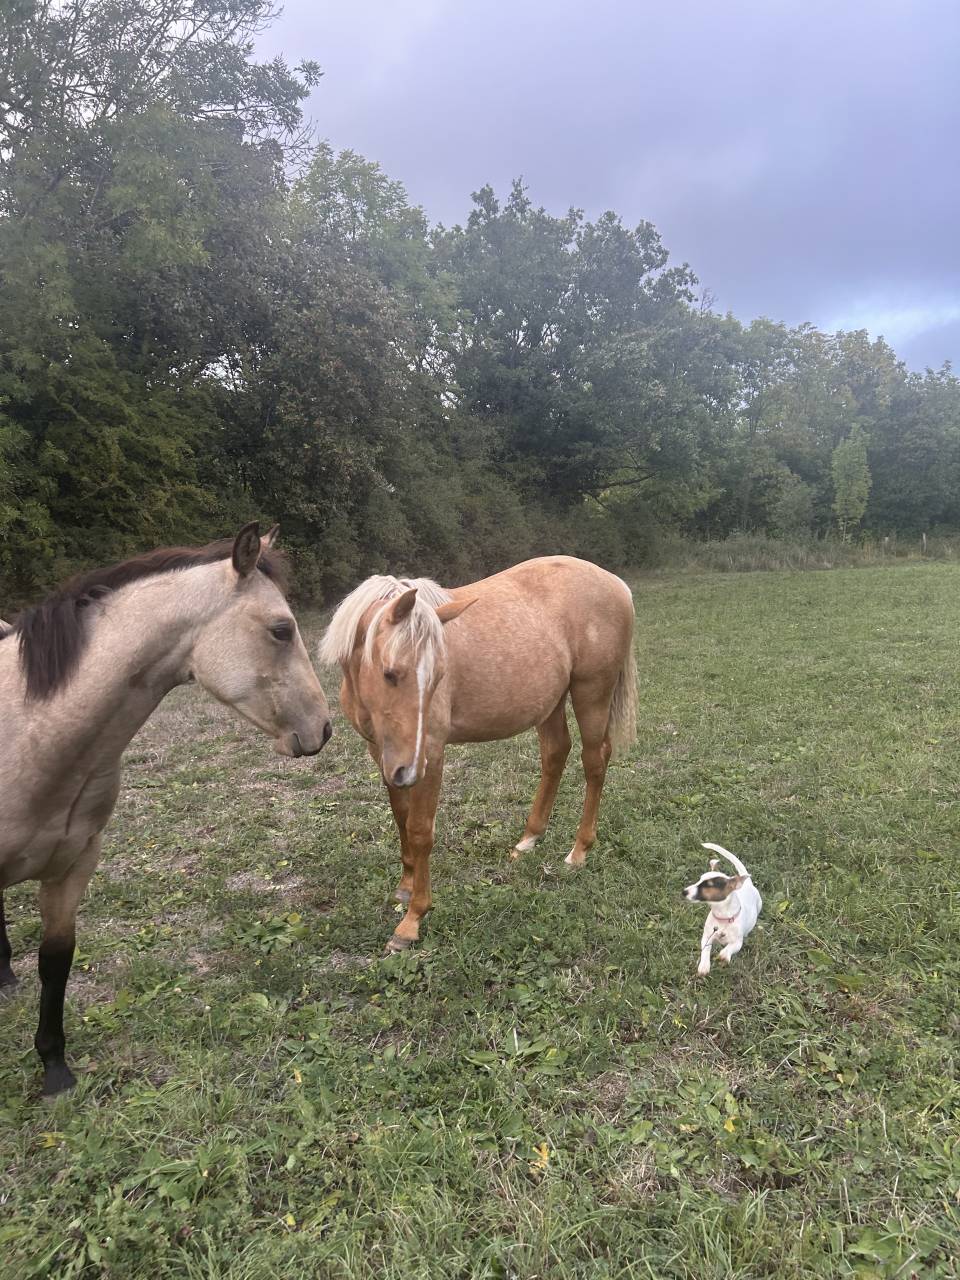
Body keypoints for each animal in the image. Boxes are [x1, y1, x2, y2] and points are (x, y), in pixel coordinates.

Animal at [0, 523, 332, 1095]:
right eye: (282, 630)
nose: (325, 728)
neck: (30, 730)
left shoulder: (73, 866)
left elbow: (55, 962)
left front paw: (55, 1068)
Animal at [320, 555, 637, 954]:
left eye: (438, 676)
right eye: (390, 674)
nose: (410, 771)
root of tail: (616, 583)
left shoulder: (430, 755)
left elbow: (420, 830)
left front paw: (412, 920)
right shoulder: (383, 753)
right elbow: (400, 819)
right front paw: (405, 888)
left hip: (591, 695)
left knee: (595, 761)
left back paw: (578, 852)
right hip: (550, 702)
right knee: (555, 753)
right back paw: (528, 840)